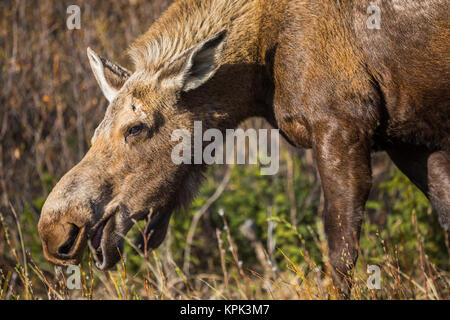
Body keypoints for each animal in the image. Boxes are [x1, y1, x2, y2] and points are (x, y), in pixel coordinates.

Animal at [37, 0, 446, 298]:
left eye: (135, 127)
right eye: (94, 133)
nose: (56, 229)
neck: (260, 74)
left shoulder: (342, 127)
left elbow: (339, 252)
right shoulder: (410, 140)